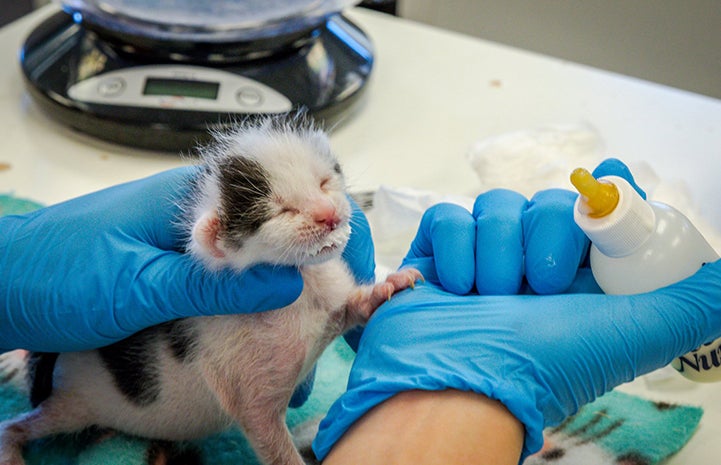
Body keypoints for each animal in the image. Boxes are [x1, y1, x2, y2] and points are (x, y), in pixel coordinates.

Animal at [0, 114, 420, 464]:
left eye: (324, 182)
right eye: (281, 210)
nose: (329, 214)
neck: (305, 289)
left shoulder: (332, 301)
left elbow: (353, 307)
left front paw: (389, 286)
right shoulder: (249, 393)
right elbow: (268, 436)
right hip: (75, 401)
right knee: (21, 423)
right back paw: (13, 442)